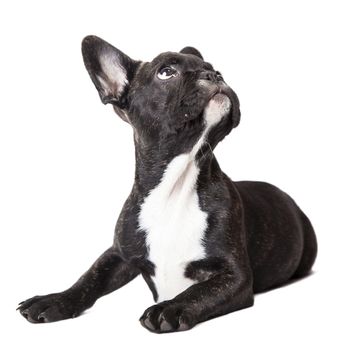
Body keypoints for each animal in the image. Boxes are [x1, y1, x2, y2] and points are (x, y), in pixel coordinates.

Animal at [17, 36, 316, 334]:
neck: (174, 187)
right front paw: (54, 299)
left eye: (214, 69)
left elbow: (198, 291)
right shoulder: (119, 254)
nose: (215, 75)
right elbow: (89, 278)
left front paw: (170, 307)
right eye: (166, 72)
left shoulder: (236, 276)